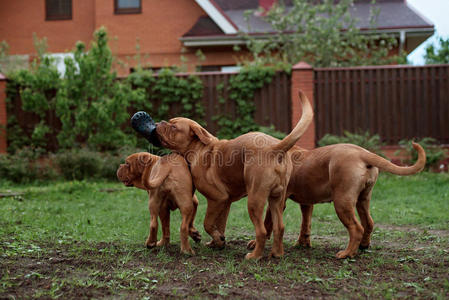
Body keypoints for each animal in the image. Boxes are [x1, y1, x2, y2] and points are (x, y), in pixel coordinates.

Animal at [152, 92, 314, 260]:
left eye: (174, 127)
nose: (159, 122)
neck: (197, 149)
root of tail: (276, 148)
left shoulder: (217, 198)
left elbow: (208, 223)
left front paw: (217, 240)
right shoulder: (226, 202)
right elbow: (220, 224)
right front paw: (218, 242)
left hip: (255, 200)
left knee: (261, 231)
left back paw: (254, 256)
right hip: (276, 199)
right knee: (279, 227)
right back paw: (277, 254)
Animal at [250, 142, 426, 258]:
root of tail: (363, 153)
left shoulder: (278, 200)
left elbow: (268, 222)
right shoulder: (306, 203)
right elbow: (305, 224)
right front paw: (303, 243)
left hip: (342, 202)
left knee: (356, 228)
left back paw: (347, 254)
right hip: (362, 200)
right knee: (368, 223)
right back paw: (363, 246)